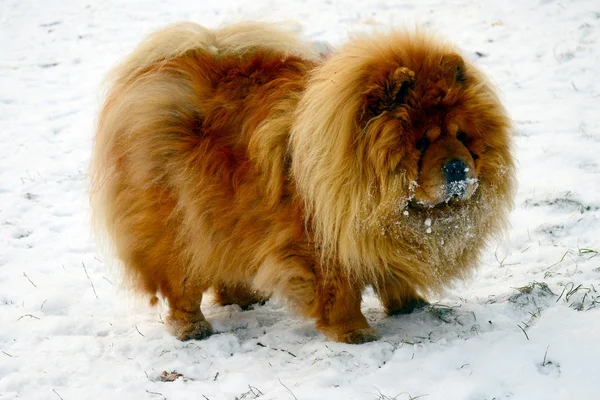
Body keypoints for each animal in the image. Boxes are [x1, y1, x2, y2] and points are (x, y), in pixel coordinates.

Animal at [89, 21, 516, 344]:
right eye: (422, 143)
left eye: (461, 136)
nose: (458, 168)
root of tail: (165, 72)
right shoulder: (320, 242)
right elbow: (341, 291)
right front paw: (355, 333)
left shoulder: (375, 237)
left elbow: (391, 272)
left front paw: (410, 305)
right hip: (179, 224)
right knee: (182, 281)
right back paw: (192, 327)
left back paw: (244, 298)